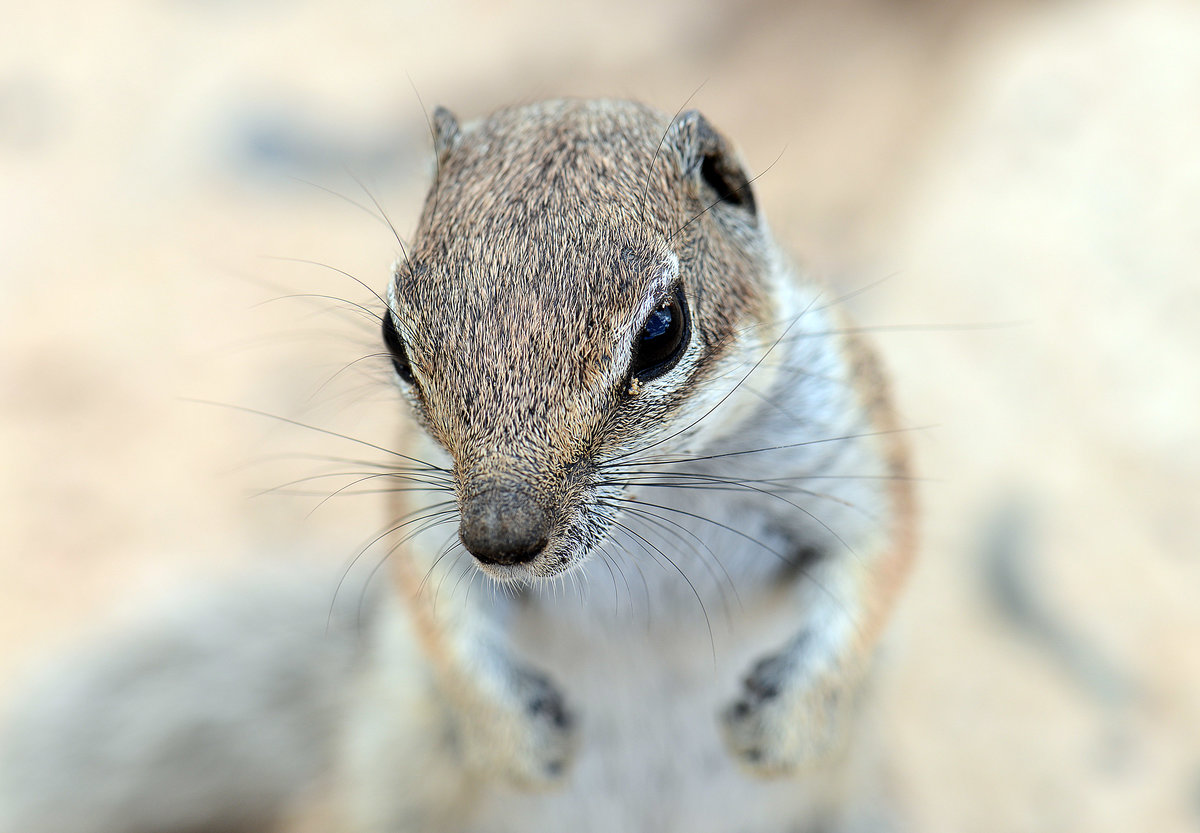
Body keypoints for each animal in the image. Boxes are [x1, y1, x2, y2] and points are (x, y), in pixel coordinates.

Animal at [0, 99, 912, 833]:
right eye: (392, 336)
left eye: (663, 331)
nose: (500, 538)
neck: (660, 494)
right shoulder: (426, 503)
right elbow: (436, 599)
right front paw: (514, 736)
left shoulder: (846, 450)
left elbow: (876, 564)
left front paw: (790, 720)